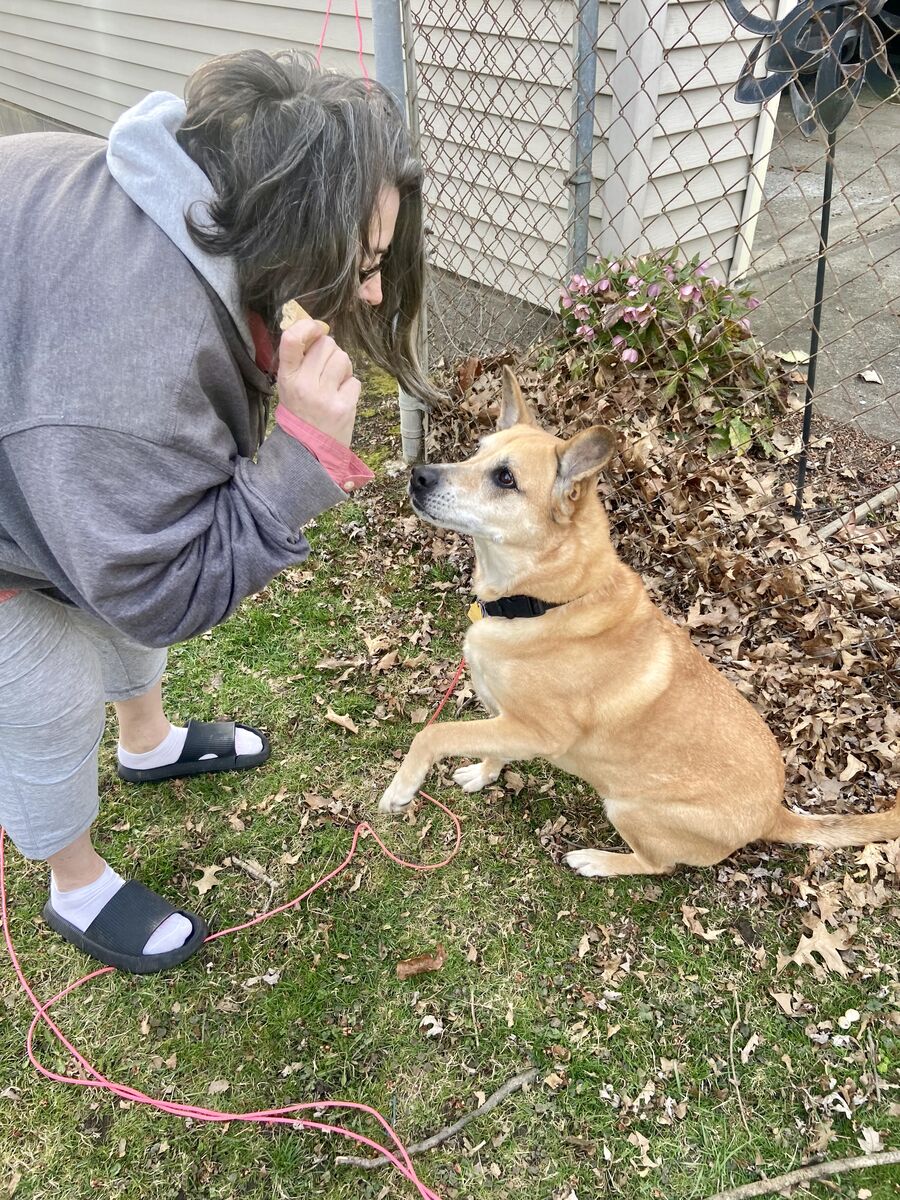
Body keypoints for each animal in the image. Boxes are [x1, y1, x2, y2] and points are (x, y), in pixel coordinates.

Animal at [381, 369, 900, 878]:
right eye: (477, 450)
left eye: (505, 478)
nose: (419, 475)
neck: (547, 601)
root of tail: (774, 813)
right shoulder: (506, 721)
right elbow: (488, 749)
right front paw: (481, 774)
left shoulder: (538, 732)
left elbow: (437, 733)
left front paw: (403, 787)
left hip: (629, 809)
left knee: (657, 865)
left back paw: (598, 860)